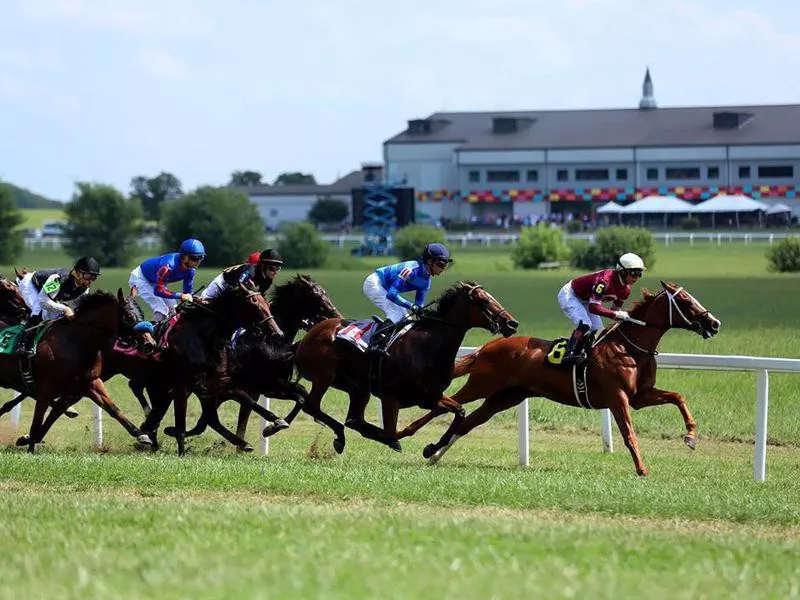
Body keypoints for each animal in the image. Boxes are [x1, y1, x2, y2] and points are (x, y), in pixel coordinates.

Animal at [290, 282, 520, 454]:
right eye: (483, 300)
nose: (512, 323)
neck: (428, 347)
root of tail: (309, 335)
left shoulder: (429, 396)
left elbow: (459, 411)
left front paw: (432, 447)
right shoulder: (391, 397)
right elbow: (393, 432)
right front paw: (398, 440)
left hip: (358, 387)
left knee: (354, 419)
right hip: (324, 377)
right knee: (313, 407)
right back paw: (340, 436)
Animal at [396, 278, 720, 476]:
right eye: (686, 302)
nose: (714, 323)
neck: (629, 347)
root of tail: (489, 345)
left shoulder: (639, 396)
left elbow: (678, 397)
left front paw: (691, 437)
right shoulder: (617, 398)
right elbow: (629, 434)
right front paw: (642, 469)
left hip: (505, 396)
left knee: (468, 421)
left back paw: (434, 453)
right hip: (483, 384)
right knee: (446, 405)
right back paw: (404, 435)